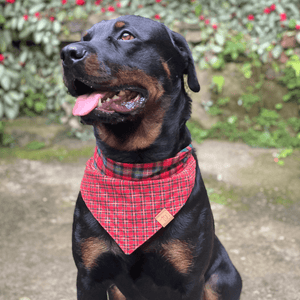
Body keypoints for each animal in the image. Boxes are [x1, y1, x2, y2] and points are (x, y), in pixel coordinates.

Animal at [60, 14, 241, 300]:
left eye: (126, 35)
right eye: (85, 37)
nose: (67, 52)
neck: (136, 168)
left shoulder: (190, 281)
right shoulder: (89, 276)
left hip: (223, 279)